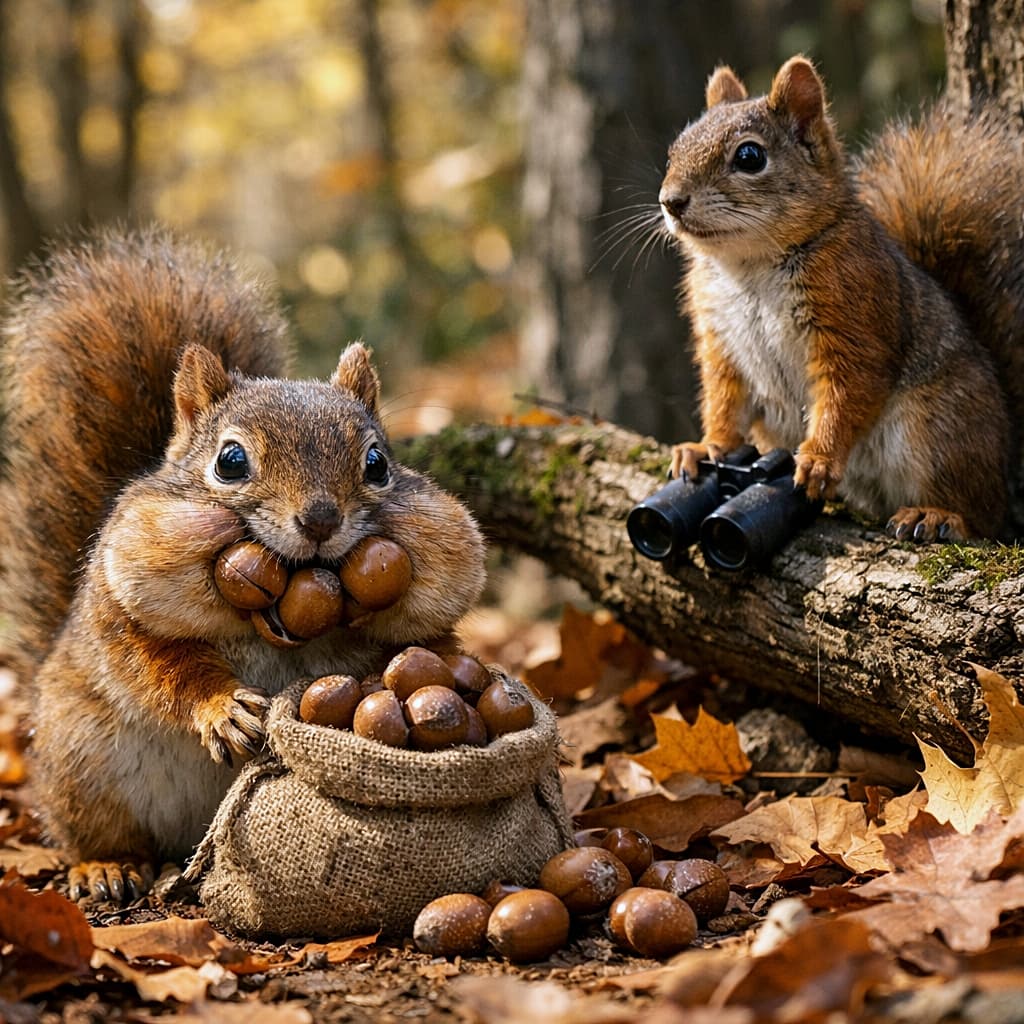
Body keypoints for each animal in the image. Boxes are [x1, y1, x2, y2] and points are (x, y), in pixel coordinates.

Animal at [0, 226, 486, 902]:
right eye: (229, 462)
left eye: (378, 464)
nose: (321, 520)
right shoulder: (120, 609)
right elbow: (160, 665)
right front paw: (223, 708)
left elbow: (421, 645)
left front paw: (447, 666)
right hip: (83, 763)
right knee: (95, 831)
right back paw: (106, 866)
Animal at [660, 55, 1024, 542]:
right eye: (673, 150)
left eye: (750, 157)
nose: (670, 201)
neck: (749, 266)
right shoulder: (719, 339)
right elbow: (724, 400)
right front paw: (707, 448)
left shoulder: (854, 315)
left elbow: (845, 392)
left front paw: (819, 460)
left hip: (939, 428)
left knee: (982, 515)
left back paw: (938, 515)